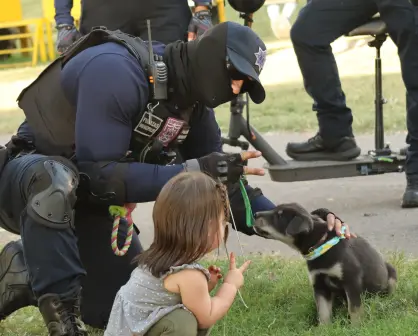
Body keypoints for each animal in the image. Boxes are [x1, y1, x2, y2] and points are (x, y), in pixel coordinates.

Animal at [253, 203, 396, 324]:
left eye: (279, 216)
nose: (254, 214)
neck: (320, 244)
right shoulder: (319, 284)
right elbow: (323, 312)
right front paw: (324, 329)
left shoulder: (351, 280)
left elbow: (354, 309)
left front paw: (356, 327)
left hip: (391, 274)